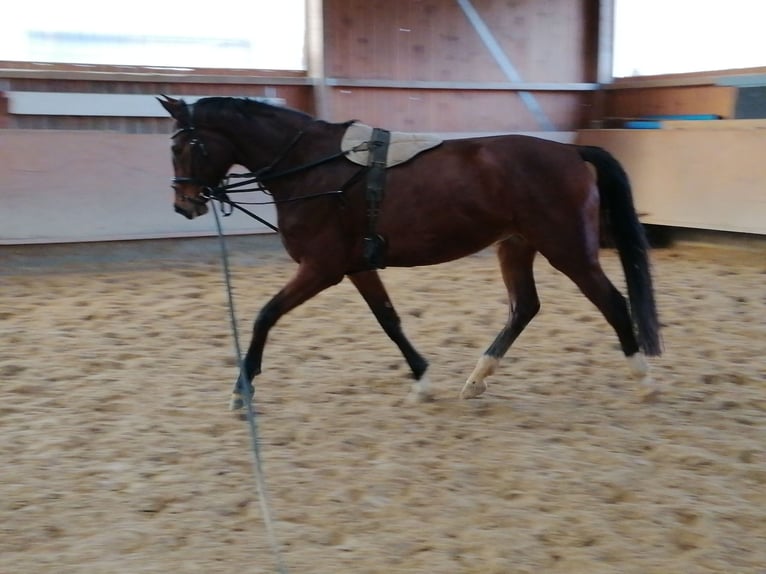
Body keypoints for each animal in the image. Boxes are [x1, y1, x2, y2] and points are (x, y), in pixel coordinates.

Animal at [159, 94, 664, 410]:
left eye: (184, 146)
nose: (184, 204)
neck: (311, 168)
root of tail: (573, 152)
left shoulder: (321, 268)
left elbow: (264, 316)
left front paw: (241, 391)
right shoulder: (356, 267)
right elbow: (389, 320)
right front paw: (421, 380)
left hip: (568, 249)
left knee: (612, 302)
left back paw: (643, 381)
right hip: (517, 246)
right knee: (524, 307)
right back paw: (476, 380)